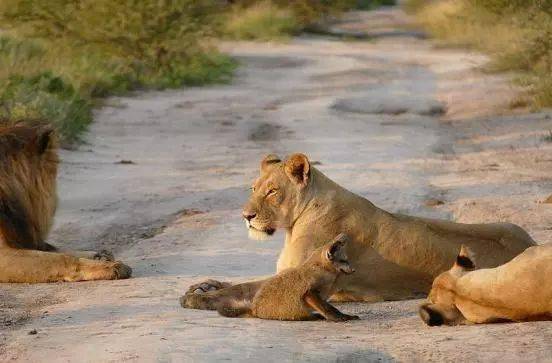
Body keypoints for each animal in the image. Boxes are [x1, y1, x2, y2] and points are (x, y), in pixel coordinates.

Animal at [0, 123, 132, 282]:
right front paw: (111, 266)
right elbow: (61, 258)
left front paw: (100, 255)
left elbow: (59, 250)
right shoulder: (4, 254)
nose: (57, 201)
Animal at [181, 152, 536, 308]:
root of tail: (532, 243)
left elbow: (243, 288)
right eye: (253, 188)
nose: (246, 216)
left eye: (271, 192)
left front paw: (199, 299)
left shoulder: (295, 277)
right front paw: (204, 285)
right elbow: (236, 281)